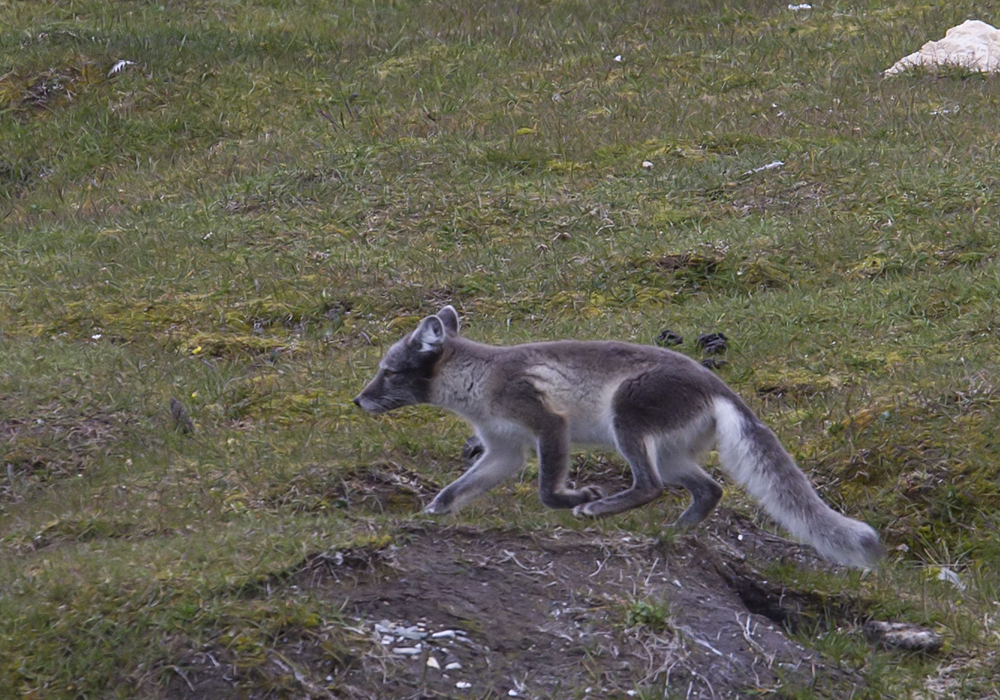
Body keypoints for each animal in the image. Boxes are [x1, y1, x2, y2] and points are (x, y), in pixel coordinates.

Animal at [356, 306, 880, 568]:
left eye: (388, 372)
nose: (358, 401)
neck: (480, 380)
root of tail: (718, 386)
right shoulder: (504, 449)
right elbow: (455, 491)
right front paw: (428, 515)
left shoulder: (548, 423)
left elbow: (547, 492)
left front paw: (579, 497)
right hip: (672, 453)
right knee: (710, 489)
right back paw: (675, 532)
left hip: (625, 420)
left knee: (650, 486)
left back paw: (603, 510)